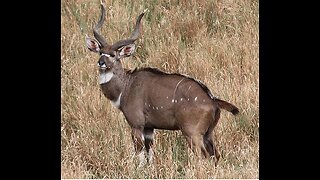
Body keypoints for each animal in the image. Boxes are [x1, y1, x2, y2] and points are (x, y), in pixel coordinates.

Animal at [84, 2, 238, 167]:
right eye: (100, 52)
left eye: (113, 55)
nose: (101, 63)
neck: (126, 87)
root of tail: (213, 100)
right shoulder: (149, 128)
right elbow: (149, 154)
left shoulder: (137, 125)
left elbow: (140, 155)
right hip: (209, 134)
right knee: (216, 156)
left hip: (192, 133)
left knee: (203, 156)